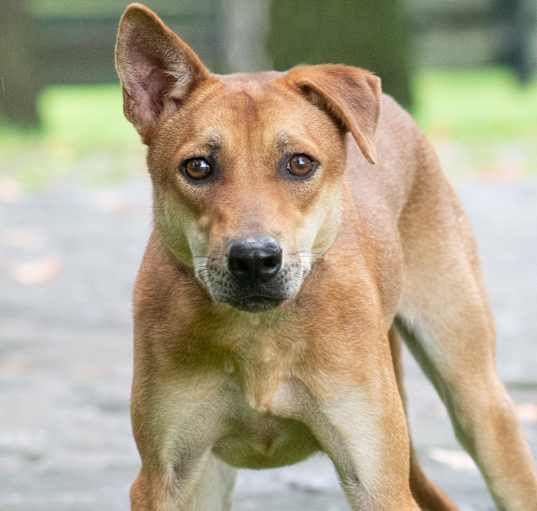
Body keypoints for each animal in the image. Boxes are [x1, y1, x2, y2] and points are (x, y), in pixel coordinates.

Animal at [114, 5, 536, 511]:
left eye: (299, 163)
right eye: (197, 167)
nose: (254, 259)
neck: (259, 335)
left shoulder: (376, 478)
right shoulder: (168, 476)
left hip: (476, 395)